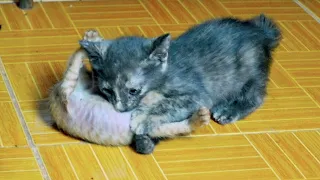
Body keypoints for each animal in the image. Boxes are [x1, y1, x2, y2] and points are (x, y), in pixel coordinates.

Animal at [80, 14, 280, 150]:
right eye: (107, 90)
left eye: (133, 90)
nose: (120, 109)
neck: (165, 72)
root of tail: (259, 30)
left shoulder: (199, 95)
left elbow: (168, 103)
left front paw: (144, 117)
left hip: (251, 69)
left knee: (256, 96)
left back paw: (229, 110)